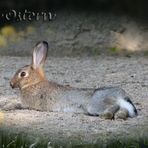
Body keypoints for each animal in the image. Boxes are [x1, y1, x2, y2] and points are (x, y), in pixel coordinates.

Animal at [8, 41, 138, 119]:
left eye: (22, 74)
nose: (11, 84)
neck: (34, 83)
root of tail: (119, 95)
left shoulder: (28, 104)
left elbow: (18, 104)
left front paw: (7, 106)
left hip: (94, 105)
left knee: (114, 107)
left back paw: (106, 115)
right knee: (124, 110)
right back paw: (120, 116)